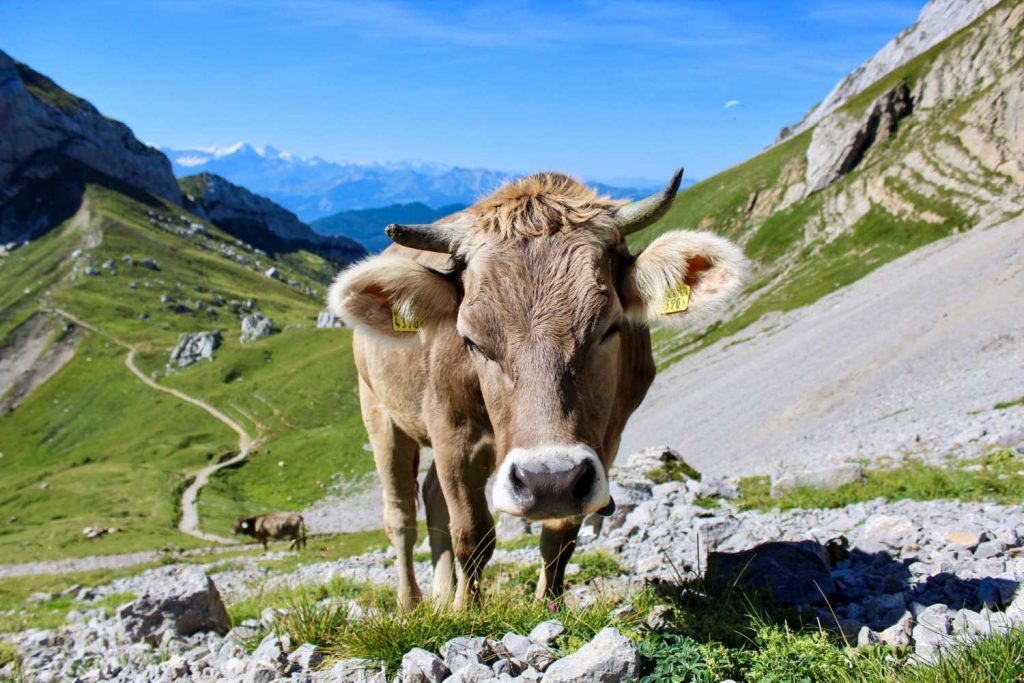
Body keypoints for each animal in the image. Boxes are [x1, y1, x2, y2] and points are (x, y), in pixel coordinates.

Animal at [328, 170, 746, 609]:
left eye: (609, 326)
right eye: (471, 339)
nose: (548, 481)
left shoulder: (606, 438)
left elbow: (562, 533)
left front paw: (550, 605)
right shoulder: (451, 431)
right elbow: (473, 533)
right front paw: (466, 610)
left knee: (431, 497)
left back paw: (441, 595)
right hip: (378, 410)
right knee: (401, 514)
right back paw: (411, 603)